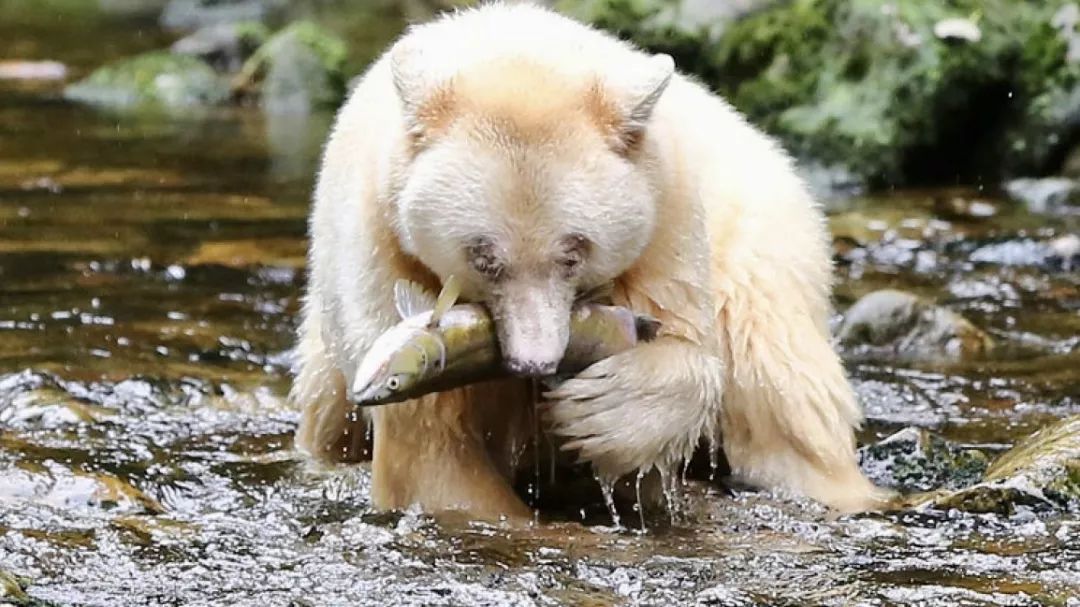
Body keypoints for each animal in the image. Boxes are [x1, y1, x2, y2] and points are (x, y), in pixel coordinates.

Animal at [290, 1, 890, 523]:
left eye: (574, 252)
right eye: (483, 257)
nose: (535, 363)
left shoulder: (665, 220)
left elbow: (682, 342)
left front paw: (603, 410)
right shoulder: (382, 247)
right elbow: (433, 451)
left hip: (759, 248)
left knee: (778, 393)